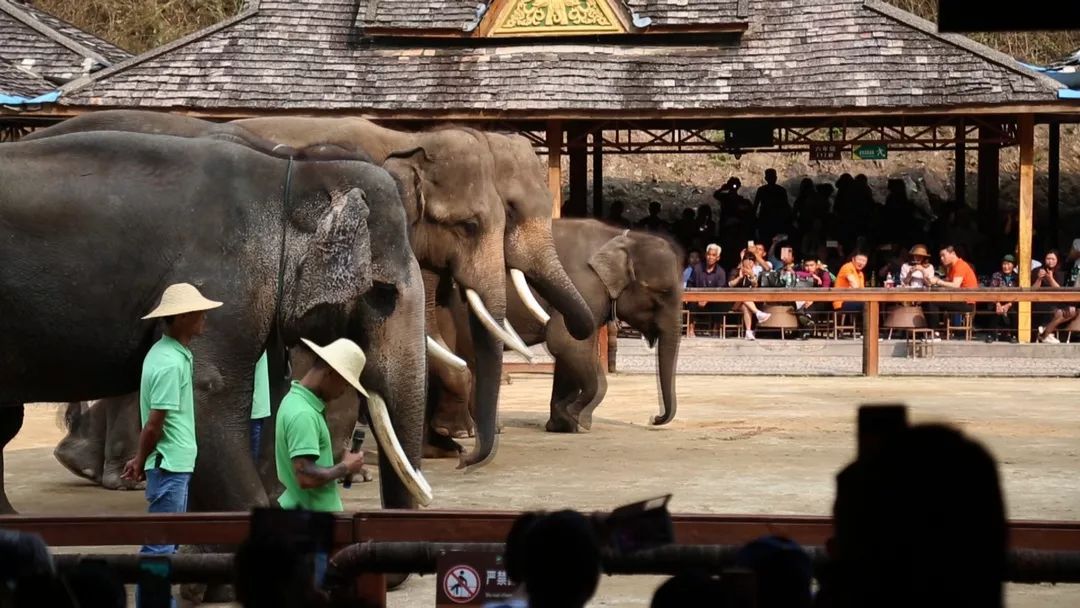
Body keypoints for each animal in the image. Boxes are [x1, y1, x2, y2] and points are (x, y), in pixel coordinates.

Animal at [425, 220, 678, 447]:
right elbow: (565, 343)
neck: (624, 237)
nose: (654, 418)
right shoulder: (585, 286)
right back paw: (470, 432)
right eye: (662, 293)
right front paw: (579, 419)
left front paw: (564, 425)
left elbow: (575, 350)